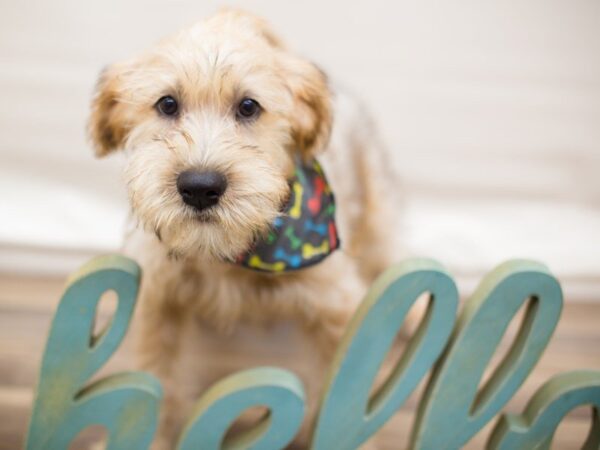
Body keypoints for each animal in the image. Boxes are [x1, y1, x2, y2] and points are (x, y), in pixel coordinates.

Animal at [88, 7, 404, 450]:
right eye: (167, 104)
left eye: (249, 107)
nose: (200, 187)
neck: (230, 255)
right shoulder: (157, 301)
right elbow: (159, 377)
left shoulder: (338, 305)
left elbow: (346, 393)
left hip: (377, 211)